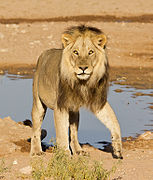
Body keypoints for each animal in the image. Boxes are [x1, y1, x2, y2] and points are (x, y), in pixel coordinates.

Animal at [30, 25, 122, 159]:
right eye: (75, 52)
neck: (82, 83)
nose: (83, 68)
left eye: (90, 52)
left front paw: (117, 147)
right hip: (38, 103)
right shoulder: (61, 106)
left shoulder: (98, 102)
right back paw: (36, 151)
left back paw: (79, 150)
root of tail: (44, 53)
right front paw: (64, 155)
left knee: (73, 133)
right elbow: (62, 133)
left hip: (74, 111)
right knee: (36, 129)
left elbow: (113, 120)